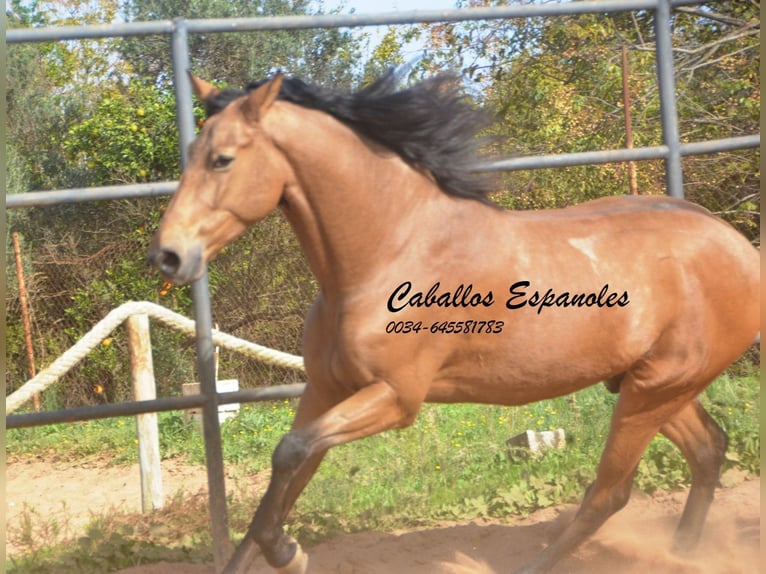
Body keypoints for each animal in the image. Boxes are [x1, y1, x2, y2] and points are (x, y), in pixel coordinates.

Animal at [150, 72, 760, 574]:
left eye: (222, 159)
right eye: (192, 152)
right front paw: (282, 549)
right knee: (707, 450)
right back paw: (683, 553)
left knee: (611, 491)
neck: (390, 251)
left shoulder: (396, 397)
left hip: (653, 392)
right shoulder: (325, 391)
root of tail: (739, 247)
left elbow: (289, 454)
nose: (169, 256)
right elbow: (281, 481)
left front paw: (290, 554)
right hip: (649, 385)